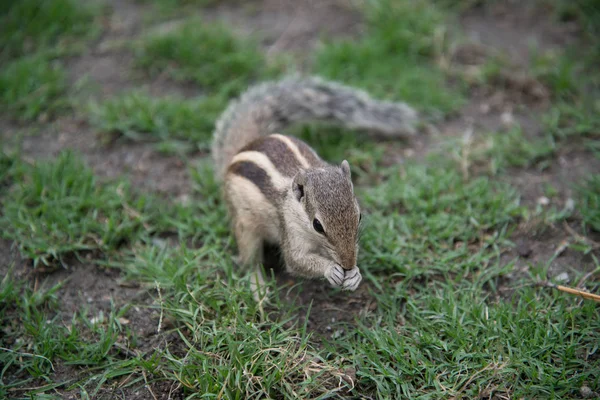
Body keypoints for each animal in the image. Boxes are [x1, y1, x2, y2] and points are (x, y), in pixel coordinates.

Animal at [211, 76, 418, 292]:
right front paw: (331, 269)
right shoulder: (290, 230)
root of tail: (242, 149)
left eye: (359, 216)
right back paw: (258, 288)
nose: (348, 264)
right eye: (317, 225)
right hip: (244, 225)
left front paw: (355, 275)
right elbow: (296, 261)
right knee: (250, 262)